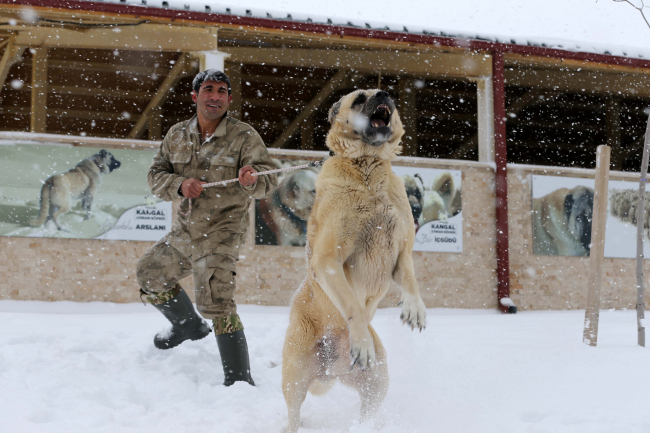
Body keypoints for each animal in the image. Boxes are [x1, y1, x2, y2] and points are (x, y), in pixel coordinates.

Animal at [280, 89, 426, 430]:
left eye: (385, 92)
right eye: (360, 98)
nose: (384, 94)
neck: (367, 167)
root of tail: (330, 368)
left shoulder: (400, 254)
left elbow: (410, 279)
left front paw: (414, 309)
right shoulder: (329, 261)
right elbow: (352, 306)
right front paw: (360, 342)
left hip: (378, 379)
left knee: (368, 410)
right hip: (294, 372)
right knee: (293, 413)